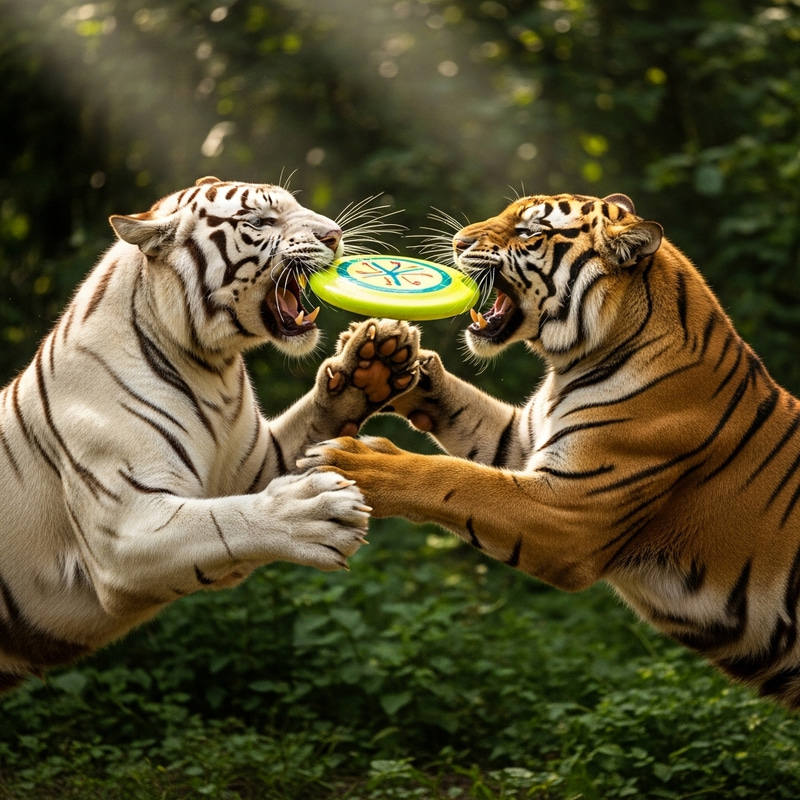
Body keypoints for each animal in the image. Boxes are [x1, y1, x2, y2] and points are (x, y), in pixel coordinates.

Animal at [0, 176, 420, 692]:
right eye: (260, 221)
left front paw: (376, 358)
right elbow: (226, 521)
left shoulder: (256, 468)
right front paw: (318, 512)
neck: (209, 368)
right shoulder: (125, 526)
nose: (334, 234)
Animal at [301, 192, 800, 710]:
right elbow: (458, 409)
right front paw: (379, 355)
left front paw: (356, 460)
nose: (457, 242)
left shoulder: (571, 510)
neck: (575, 363)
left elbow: (451, 477)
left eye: (529, 233)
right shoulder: (521, 441)